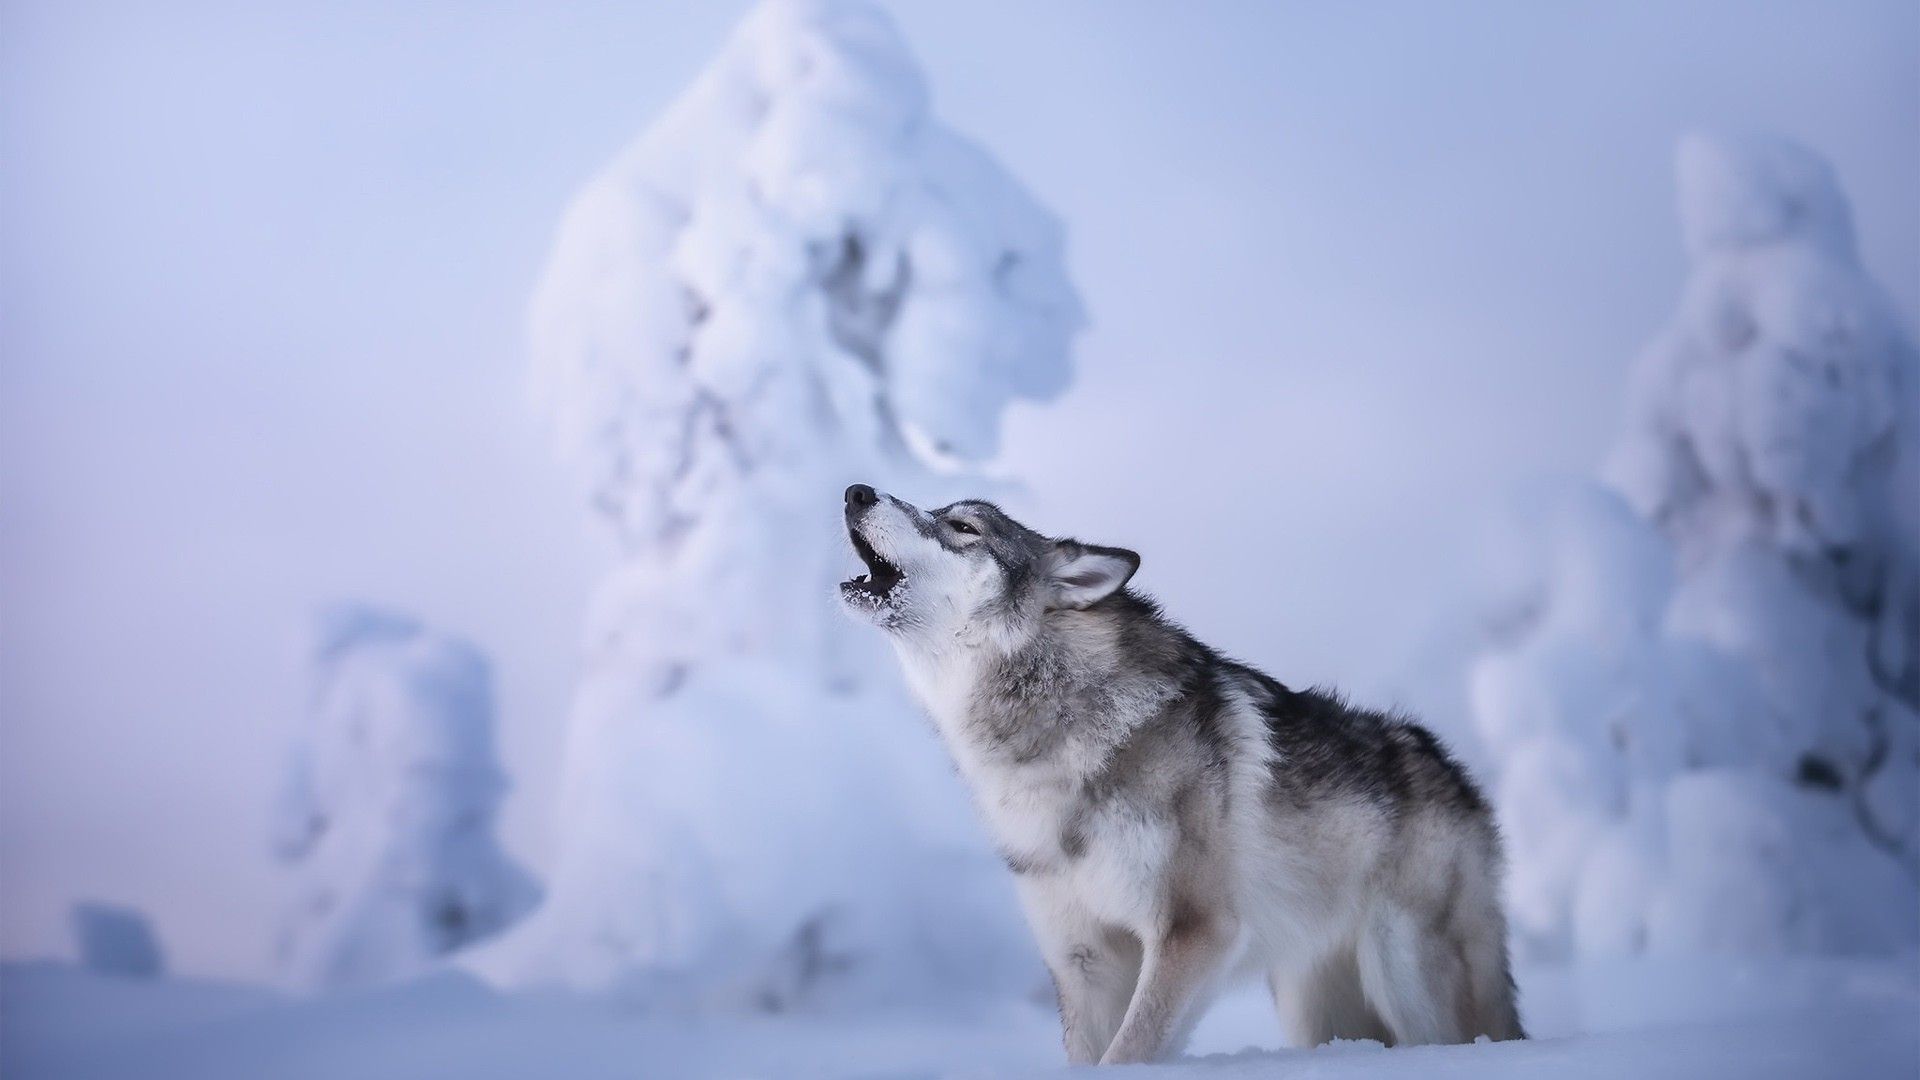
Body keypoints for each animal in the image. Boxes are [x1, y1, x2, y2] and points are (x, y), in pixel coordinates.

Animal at [837, 484, 1524, 1064]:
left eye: (963, 526)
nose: (855, 491)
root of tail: (1461, 781)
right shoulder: (1085, 962)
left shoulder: (1192, 932)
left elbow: (1129, 1053)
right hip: (1313, 1007)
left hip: (1407, 980)